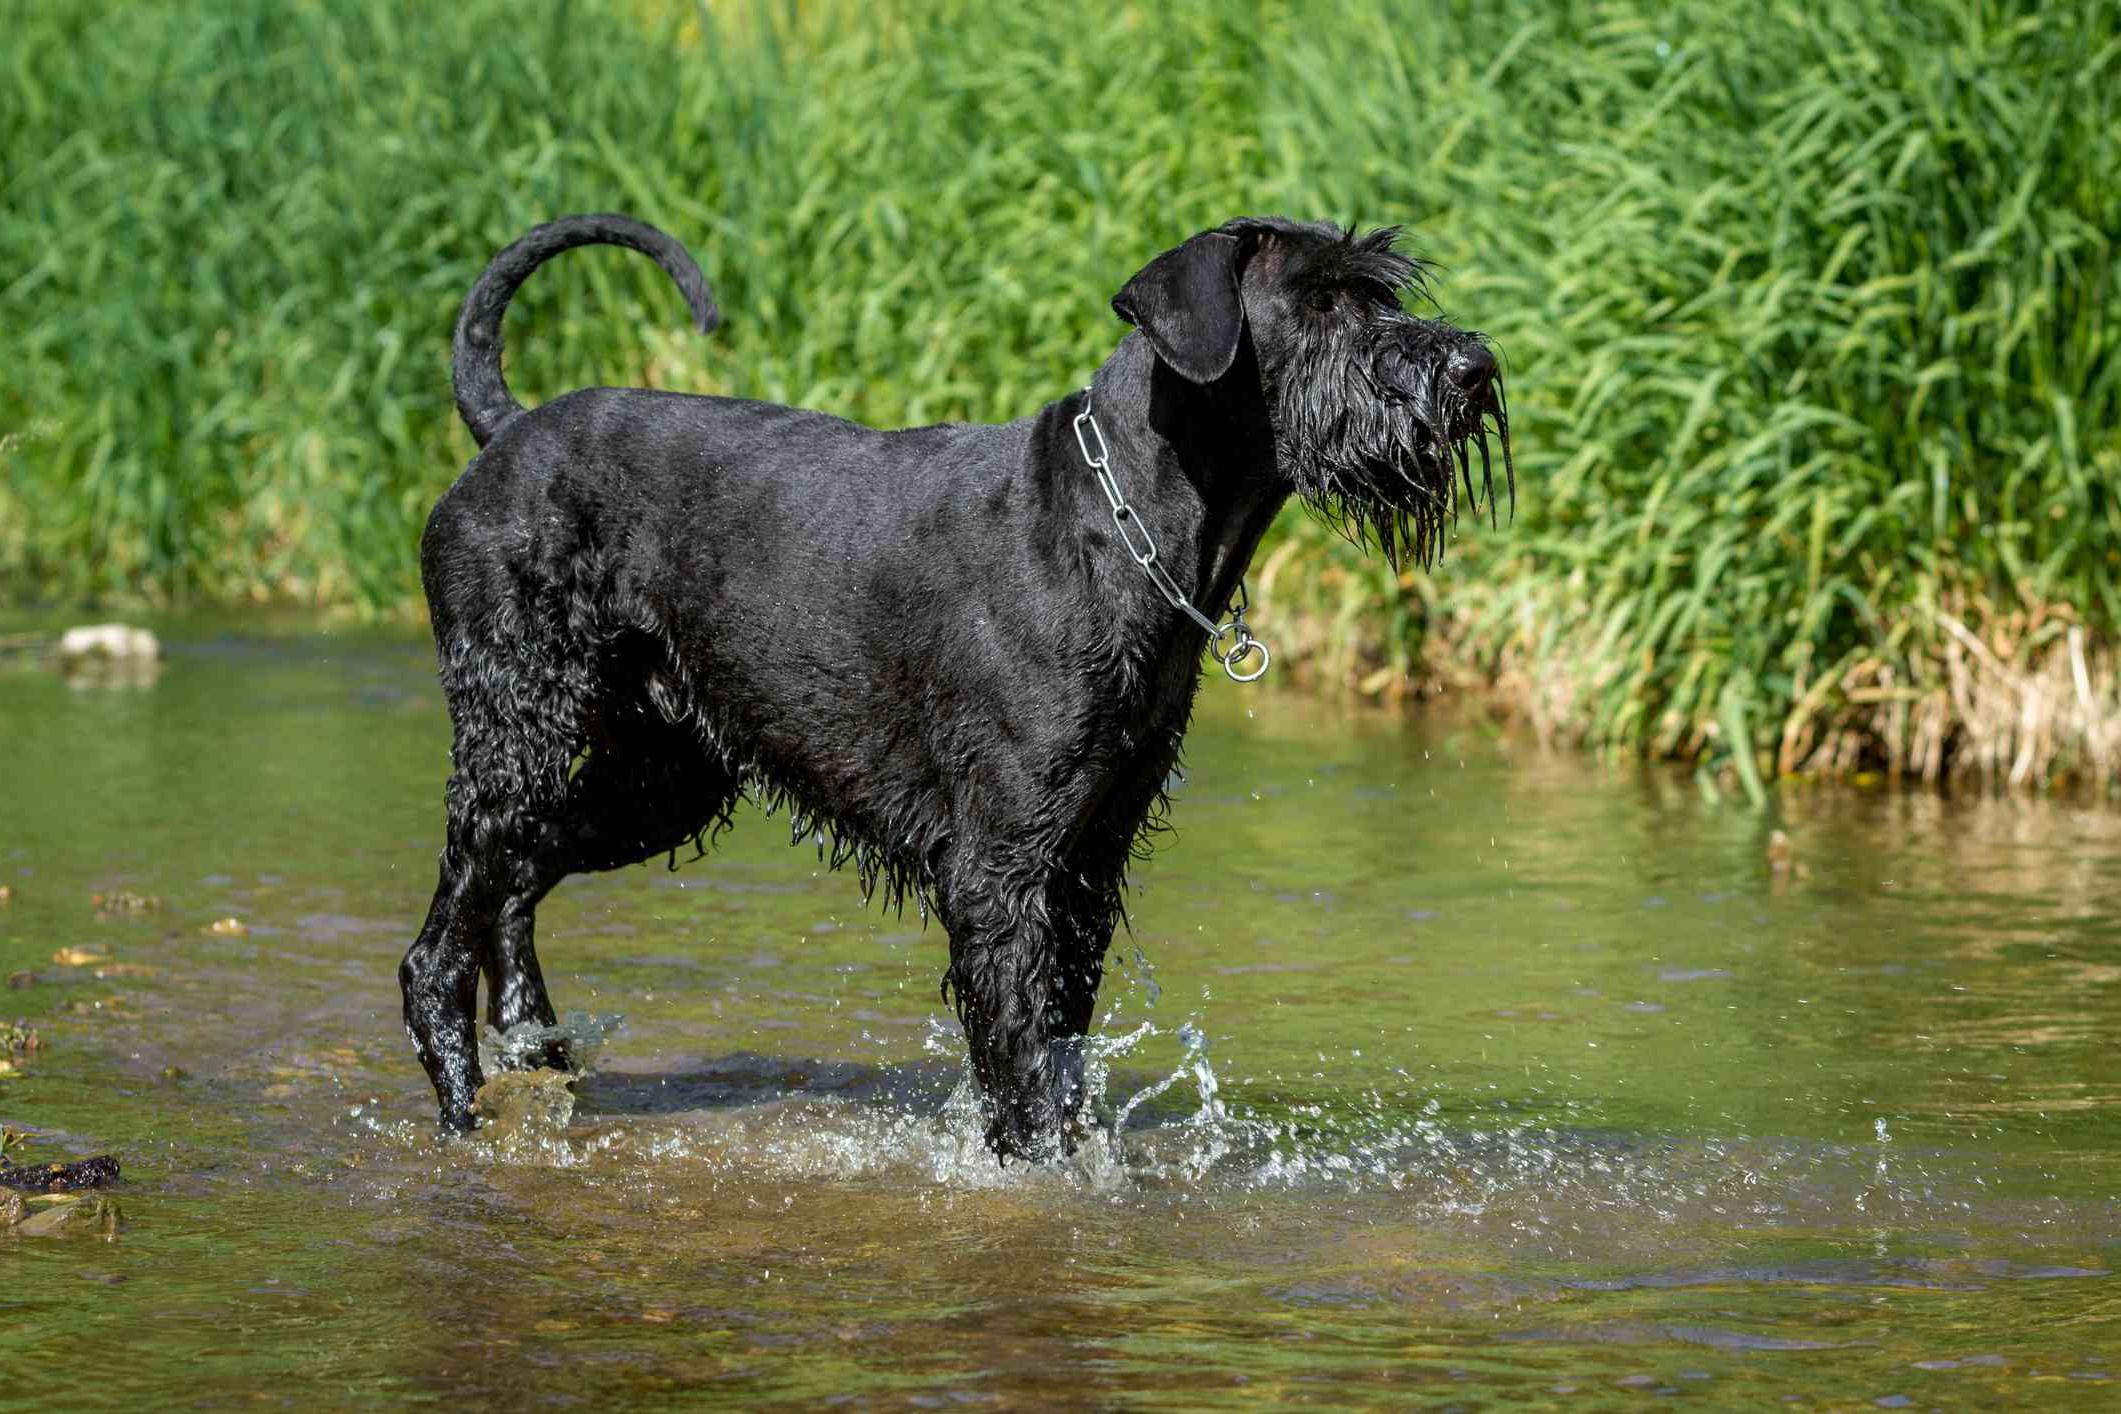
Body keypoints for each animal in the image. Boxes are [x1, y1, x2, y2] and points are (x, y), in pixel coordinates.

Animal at [400, 213, 1510, 1161]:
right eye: (1318, 302)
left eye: (1381, 288)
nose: (1472, 367)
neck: (1120, 523)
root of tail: (504, 435)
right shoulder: (999, 869)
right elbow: (1018, 1069)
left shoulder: (1086, 862)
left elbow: (1059, 1047)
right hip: (516, 732)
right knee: (437, 948)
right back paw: (463, 1108)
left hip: (660, 780)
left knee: (517, 881)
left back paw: (534, 1050)